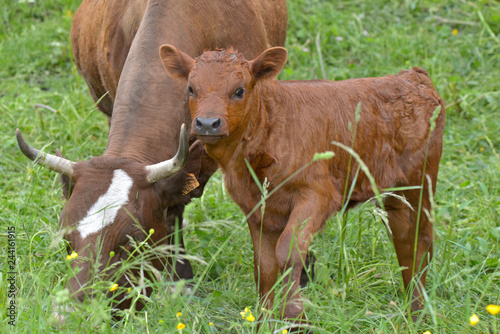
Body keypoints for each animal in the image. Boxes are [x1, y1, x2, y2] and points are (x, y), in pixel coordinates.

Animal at [159, 45, 446, 324]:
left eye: (239, 90)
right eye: (191, 89)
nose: (207, 123)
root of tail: (411, 77)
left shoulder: (318, 195)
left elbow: (287, 250)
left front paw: (295, 313)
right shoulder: (256, 207)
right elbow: (264, 266)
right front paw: (265, 321)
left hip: (418, 185)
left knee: (419, 242)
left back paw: (417, 316)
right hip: (395, 196)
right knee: (405, 241)